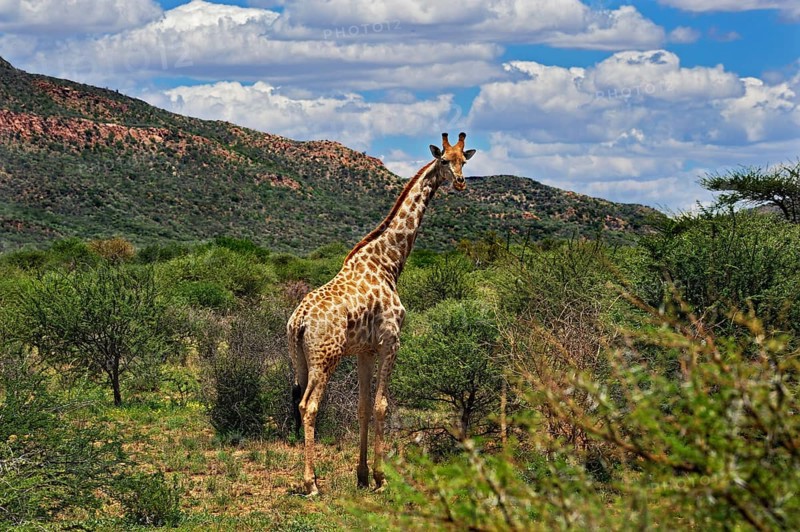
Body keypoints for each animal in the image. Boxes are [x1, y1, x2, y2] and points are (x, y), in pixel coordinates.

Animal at [287, 132, 477, 496]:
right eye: (444, 160)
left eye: (464, 160)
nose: (460, 183)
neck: (389, 262)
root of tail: (298, 322)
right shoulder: (392, 341)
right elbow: (381, 405)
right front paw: (380, 477)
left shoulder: (365, 350)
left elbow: (362, 407)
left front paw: (361, 474)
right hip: (325, 358)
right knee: (309, 406)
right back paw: (311, 482)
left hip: (299, 359)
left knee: (297, 402)